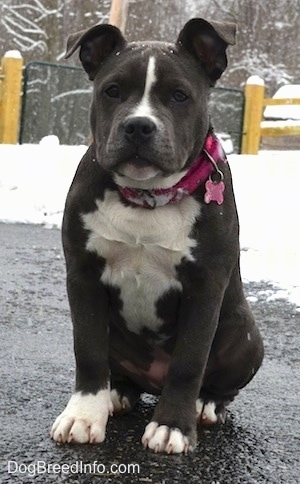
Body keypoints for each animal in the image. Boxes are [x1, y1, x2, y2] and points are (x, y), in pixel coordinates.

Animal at [50, 16, 264, 454]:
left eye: (179, 95)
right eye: (112, 90)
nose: (138, 125)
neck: (147, 197)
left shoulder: (205, 286)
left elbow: (189, 361)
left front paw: (172, 426)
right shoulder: (83, 276)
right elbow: (88, 350)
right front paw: (84, 415)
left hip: (246, 333)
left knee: (218, 382)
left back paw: (206, 404)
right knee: (117, 369)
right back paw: (117, 393)